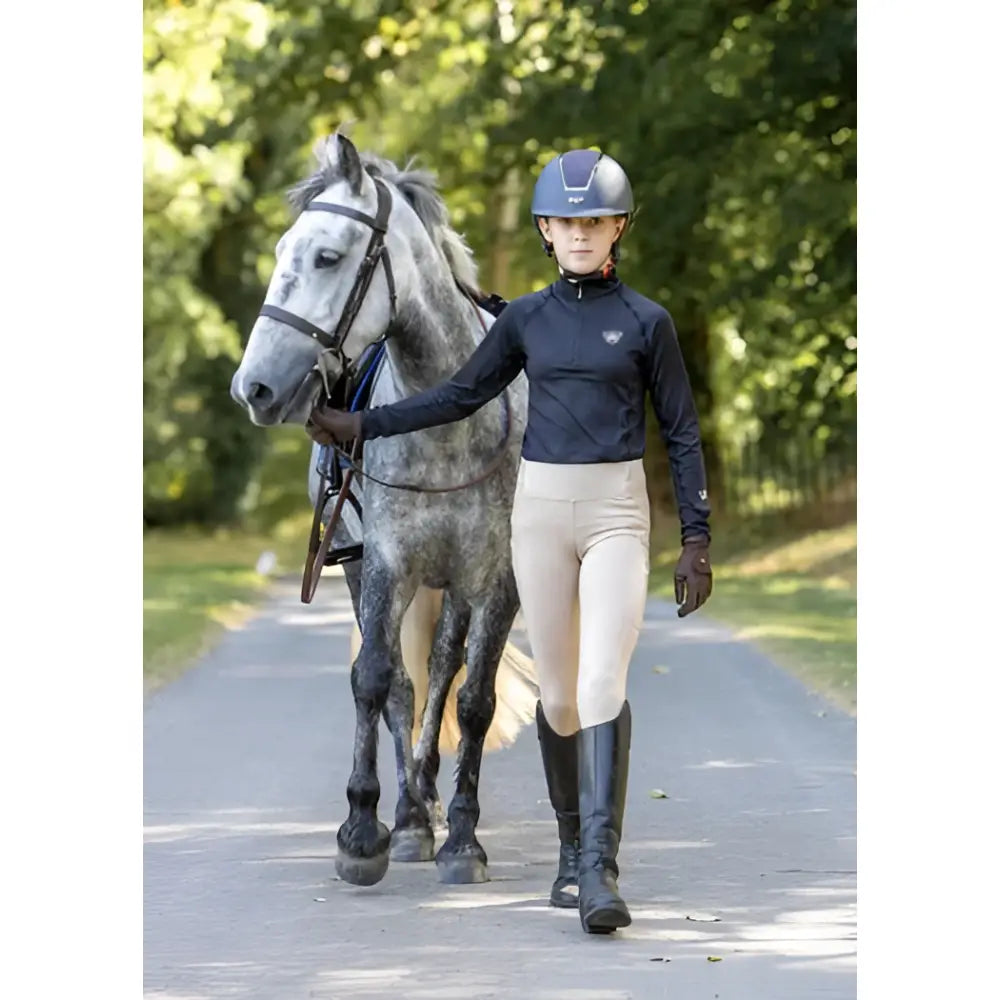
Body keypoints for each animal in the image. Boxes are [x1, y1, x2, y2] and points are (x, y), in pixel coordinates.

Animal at [230, 131, 532, 887]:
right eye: (280, 251)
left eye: (327, 257)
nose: (253, 388)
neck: (449, 416)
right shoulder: (385, 564)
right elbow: (375, 681)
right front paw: (364, 832)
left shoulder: (498, 580)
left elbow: (474, 700)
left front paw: (463, 841)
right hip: (359, 564)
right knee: (402, 683)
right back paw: (409, 819)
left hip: (454, 585)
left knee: (445, 670)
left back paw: (428, 801)